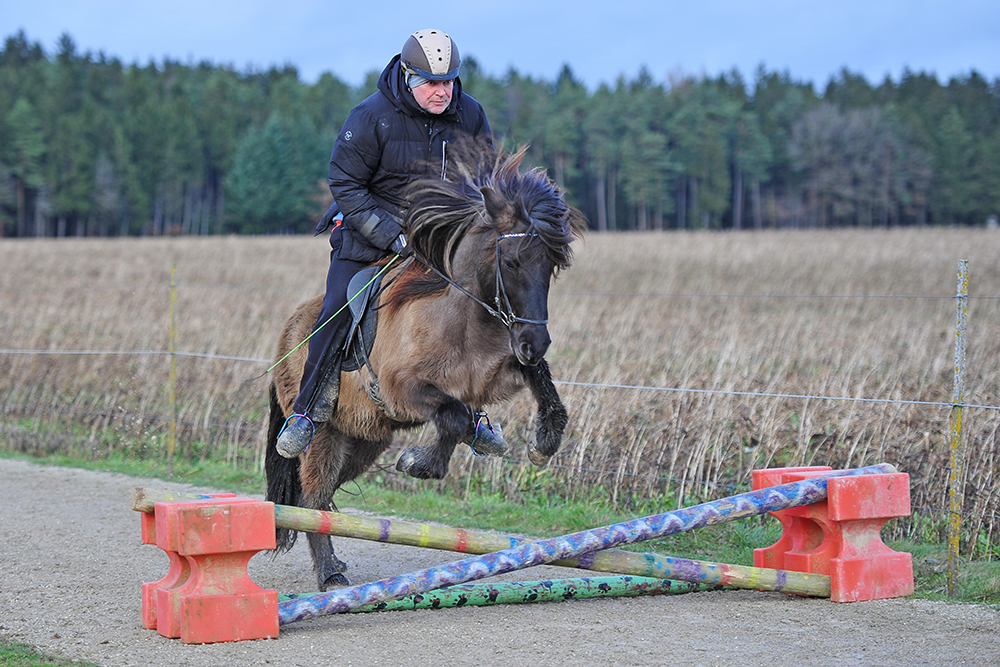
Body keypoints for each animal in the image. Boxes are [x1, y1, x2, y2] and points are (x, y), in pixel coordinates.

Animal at [264, 144, 584, 592]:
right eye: (512, 262)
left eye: (552, 264)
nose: (535, 342)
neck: (462, 318)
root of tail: (287, 331)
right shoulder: (402, 388)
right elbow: (451, 415)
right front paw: (420, 463)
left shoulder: (494, 375)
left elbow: (528, 389)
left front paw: (543, 441)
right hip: (324, 433)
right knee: (311, 498)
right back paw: (329, 573)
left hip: (363, 439)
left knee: (324, 497)